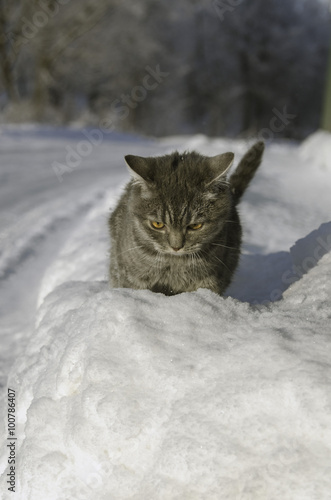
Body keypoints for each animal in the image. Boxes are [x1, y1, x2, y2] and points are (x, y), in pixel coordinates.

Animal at [109, 141, 264, 294]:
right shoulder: (130, 277)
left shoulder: (210, 281)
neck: (174, 264)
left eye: (195, 226)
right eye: (157, 224)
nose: (176, 247)